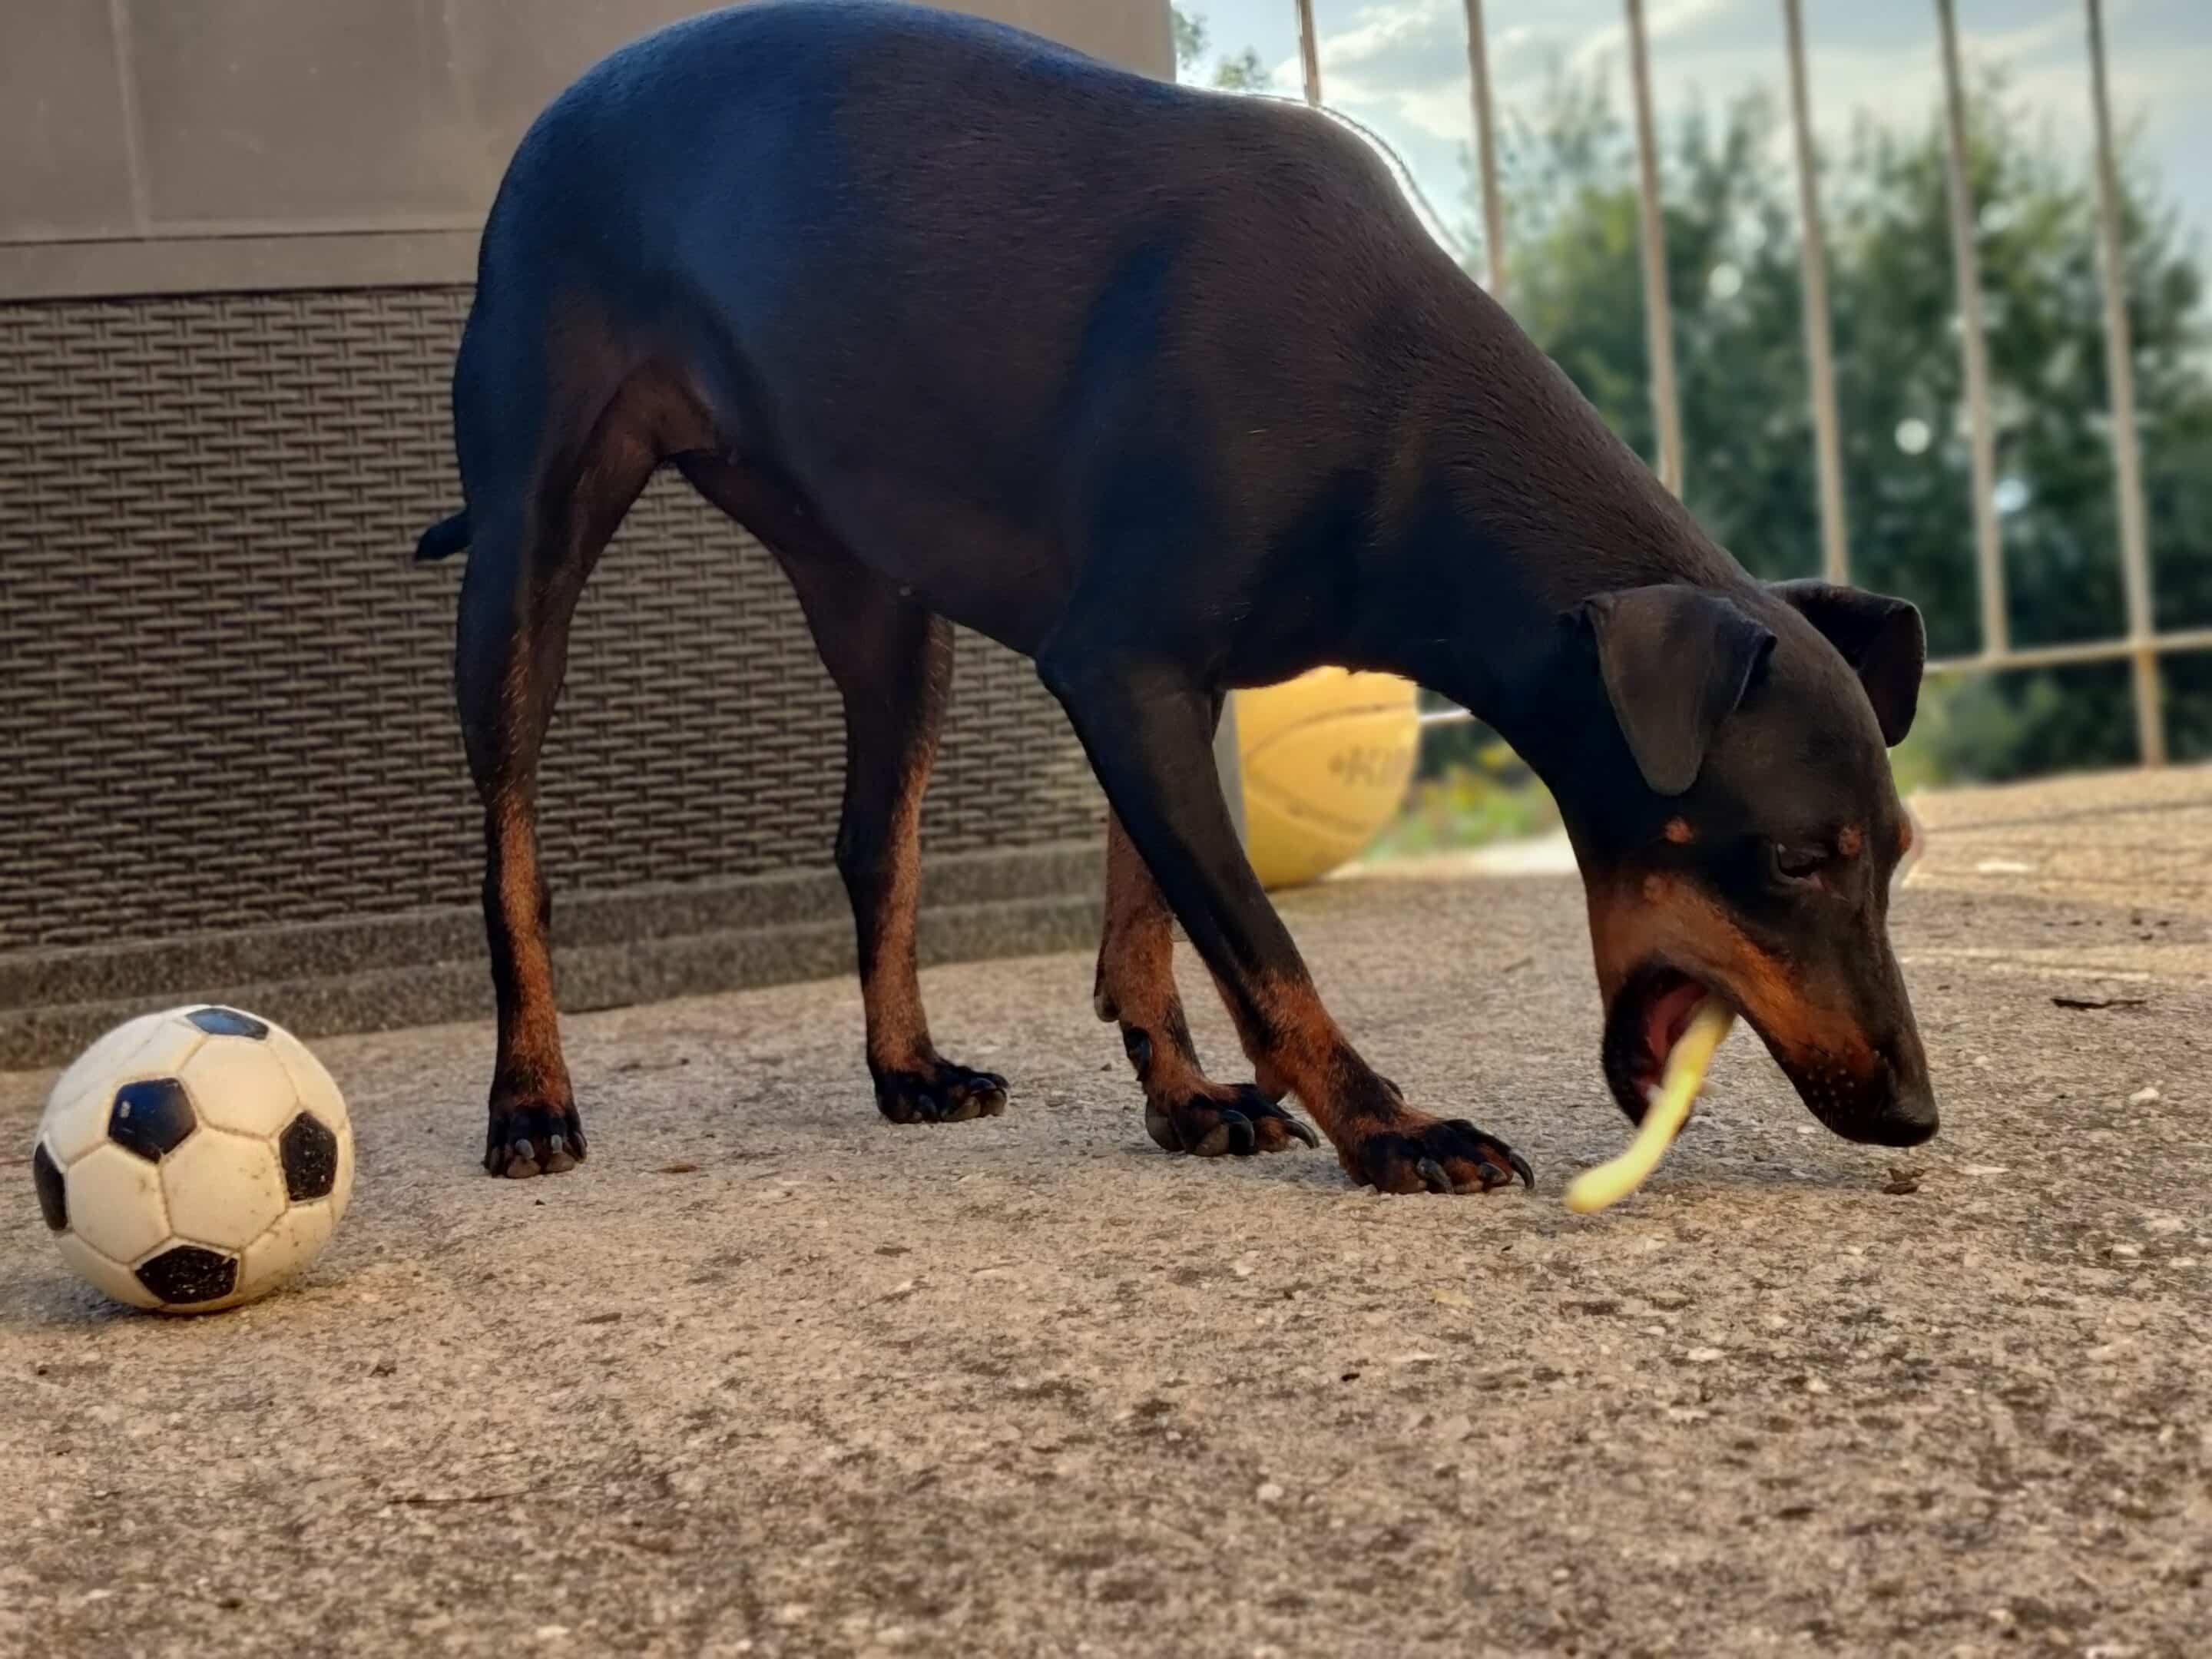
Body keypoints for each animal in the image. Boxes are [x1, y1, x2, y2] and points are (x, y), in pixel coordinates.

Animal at [416, 0, 1937, 1194]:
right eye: (1795, 859)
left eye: (1901, 853)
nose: (1917, 1114)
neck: (1396, 417)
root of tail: (562, 109)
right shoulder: (1123, 672)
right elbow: (1255, 940)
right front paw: (1390, 1128)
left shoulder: (1168, 698)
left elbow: (1147, 922)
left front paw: (1185, 1098)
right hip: (524, 561)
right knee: (512, 861)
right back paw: (532, 1097)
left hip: (885, 614)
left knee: (874, 848)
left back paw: (908, 1069)